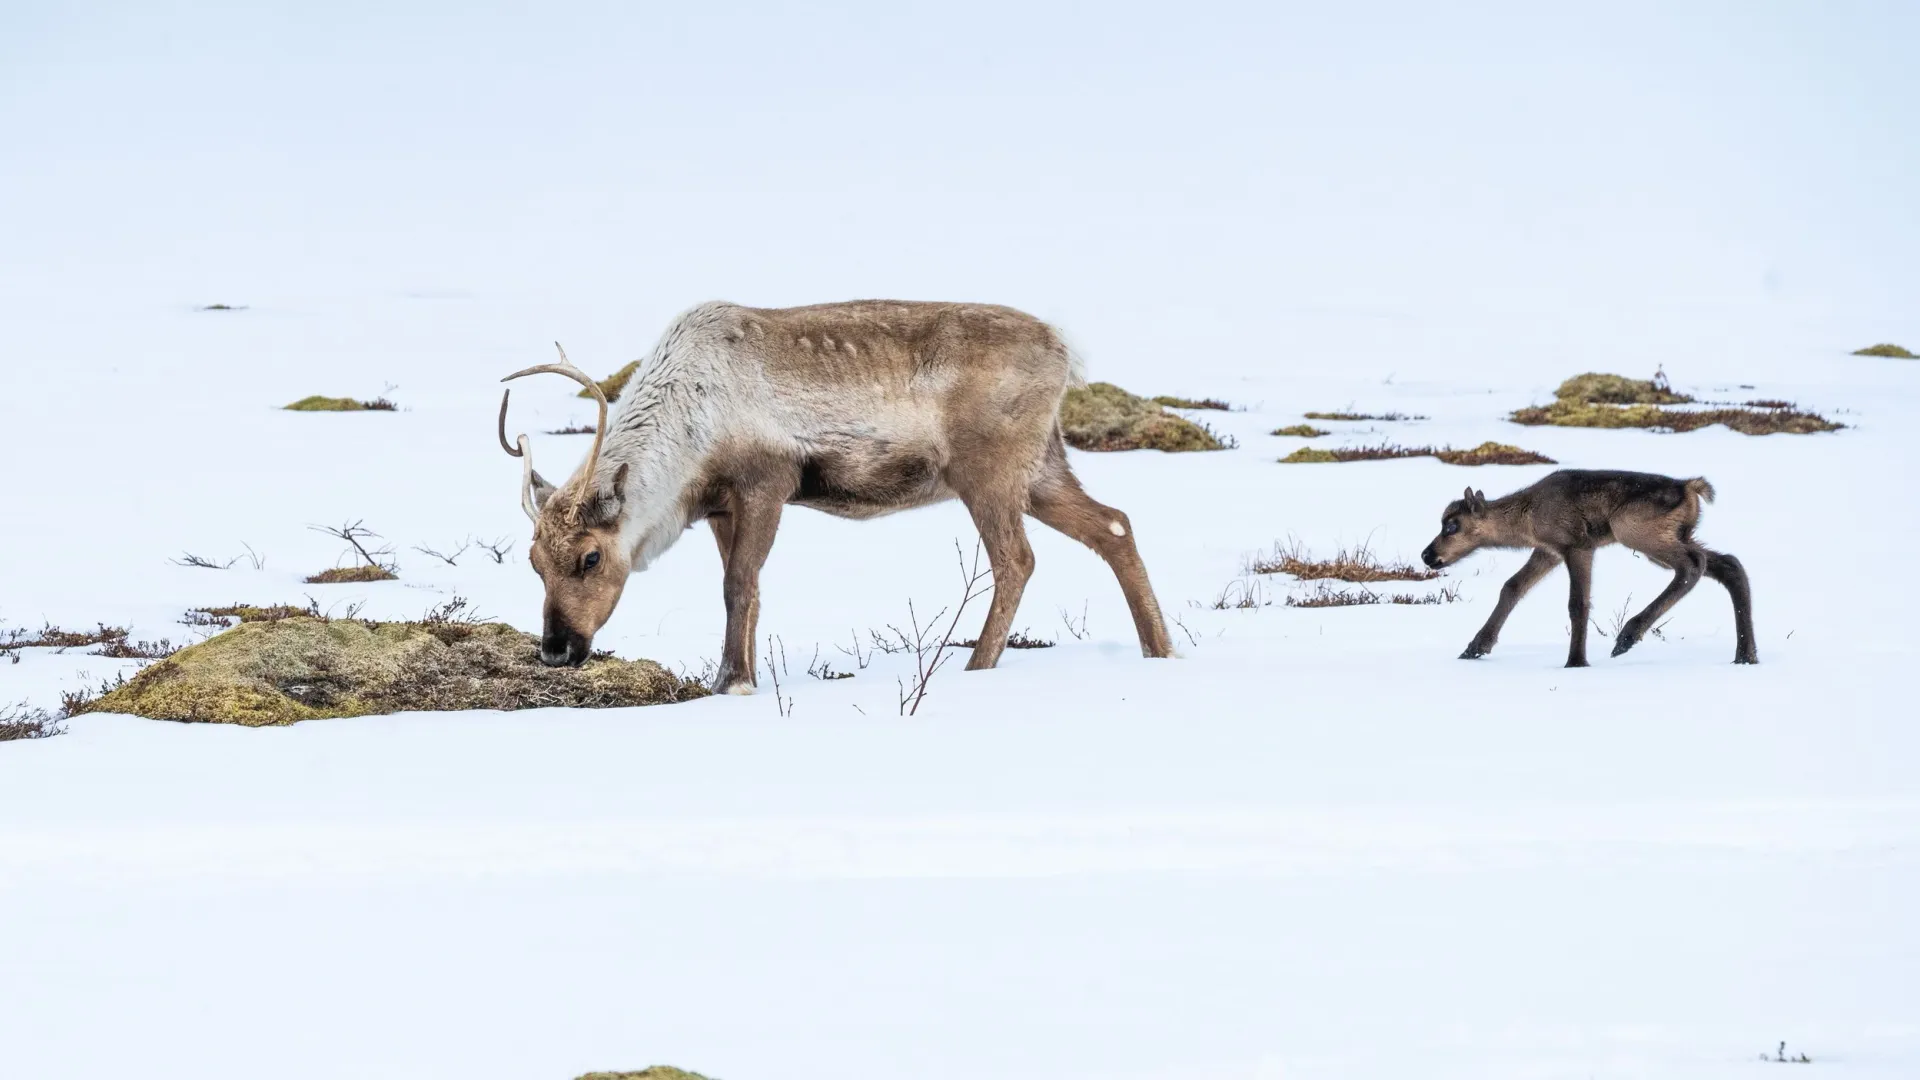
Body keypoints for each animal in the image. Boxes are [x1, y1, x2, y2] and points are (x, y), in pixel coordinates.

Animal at [1428, 468, 1758, 664]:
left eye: (1452, 526)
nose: (1427, 555)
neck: (1527, 519)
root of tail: (1690, 488)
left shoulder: (1577, 545)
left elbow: (1578, 603)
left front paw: (1575, 661)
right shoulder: (1548, 551)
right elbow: (1511, 587)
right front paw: (1474, 647)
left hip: (1634, 531)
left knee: (1693, 564)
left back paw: (1627, 635)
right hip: (1679, 535)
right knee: (1730, 564)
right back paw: (1746, 655)